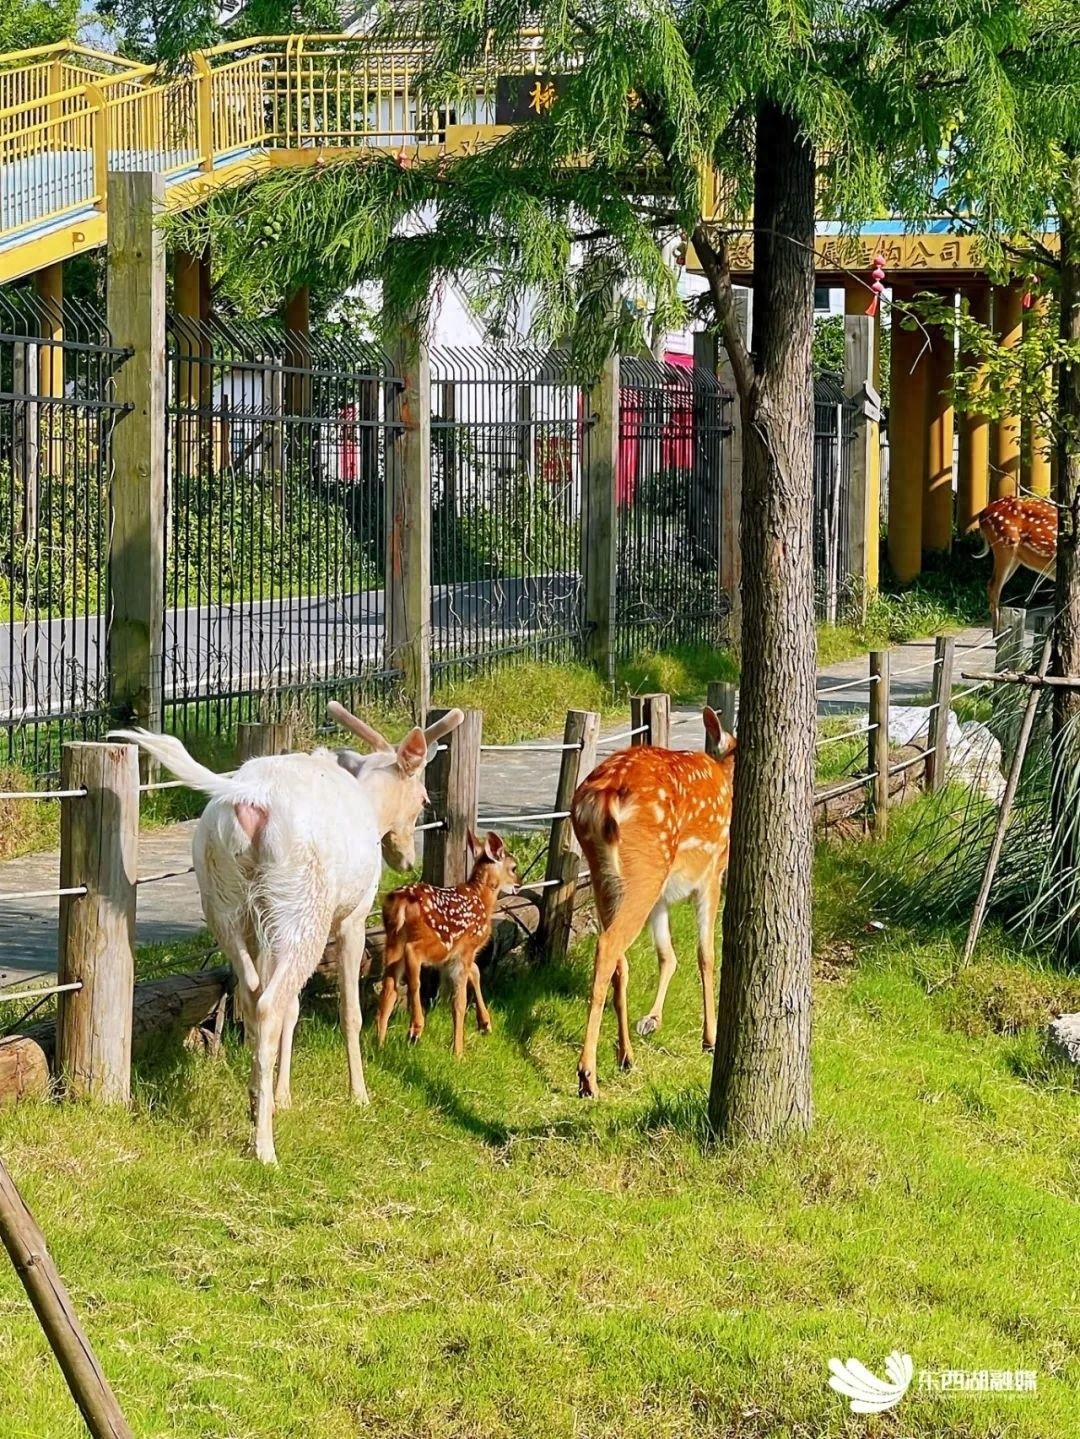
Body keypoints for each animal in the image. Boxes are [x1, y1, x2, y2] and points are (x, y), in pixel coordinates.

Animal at [110, 702, 464, 1164]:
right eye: (423, 798)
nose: (405, 859)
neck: (369, 803)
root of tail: (249, 799)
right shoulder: (353, 915)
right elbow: (349, 1008)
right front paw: (359, 1094)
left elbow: (294, 1009)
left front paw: (283, 1096)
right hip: (301, 903)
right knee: (268, 1003)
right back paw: (265, 1147)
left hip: (226, 902)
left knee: (252, 994)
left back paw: (255, 1104)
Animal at [377, 832, 519, 1056]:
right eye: (514, 867)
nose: (519, 884)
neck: (483, 900)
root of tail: (401, 902)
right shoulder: (465, 948)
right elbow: (459, 1002)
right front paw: (458, 1052)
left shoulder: (458, 955)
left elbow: (475, 972)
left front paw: (485, 1023)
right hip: (437, 941)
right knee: (413, 961)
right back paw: (416, 1028)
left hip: (393, 941)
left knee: (389, 987)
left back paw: (380, 1045)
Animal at [571, 707, 736, 1098]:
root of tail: (601, 798)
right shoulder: (711, 873)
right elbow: (706, 955)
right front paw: (710, 1038)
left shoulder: (662, 898)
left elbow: (667, 954)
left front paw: (652, 1019)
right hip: (647, 866)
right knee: (608, 946)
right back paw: (588, 1076)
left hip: (609, 878)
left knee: (621, 960)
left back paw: (626, 1056)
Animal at [968, 496, 1057, 631]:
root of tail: (982, 514)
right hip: (1004, 545)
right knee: (993, 587)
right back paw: (997, 633)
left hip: (1015, 558)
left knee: (990, 584)